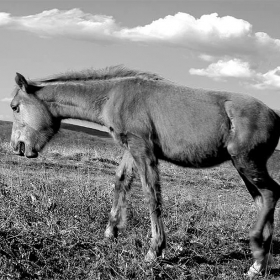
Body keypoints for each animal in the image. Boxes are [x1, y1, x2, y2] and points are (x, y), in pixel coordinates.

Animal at [9, 66, 280, 278]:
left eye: (14, 107)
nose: (16, 147)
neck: (112, 96)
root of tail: (274, 115)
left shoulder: (143, 149)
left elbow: (152, 195)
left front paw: (154, 250)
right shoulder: (132, 147)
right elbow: (121, 181)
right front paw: (111, 231)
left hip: (247, 163)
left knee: (270, 193)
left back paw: (257, 252)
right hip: (244, 168)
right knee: (263, 201)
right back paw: (260, 263)